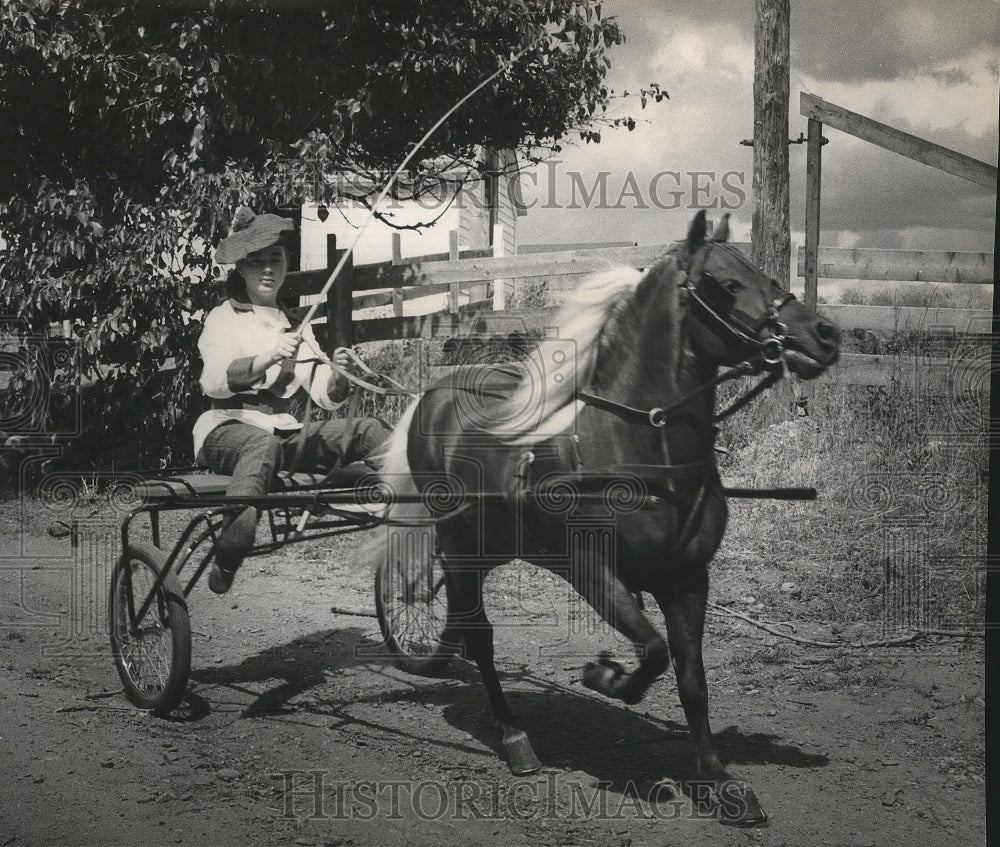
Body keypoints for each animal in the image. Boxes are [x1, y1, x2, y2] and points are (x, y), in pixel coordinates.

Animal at [372, 214, 840, 828]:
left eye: (765, 273)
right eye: (725, 283)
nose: (825, 334)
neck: (642, 451)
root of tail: (437, 391)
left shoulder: (688, 579)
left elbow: (692, 679)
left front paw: (719, 782)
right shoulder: (592, 571)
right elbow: (653, 652)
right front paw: (606, 677)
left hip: (492, 543)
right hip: (457, 542)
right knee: (479, 636)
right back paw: (514, 738)